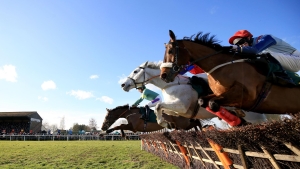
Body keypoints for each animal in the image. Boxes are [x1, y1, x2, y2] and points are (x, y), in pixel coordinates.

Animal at [120, 61, 270, 127]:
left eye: (135, 71)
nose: (123, 85)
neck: (170, 85)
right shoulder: (177, 110)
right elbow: (162, 108)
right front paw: (164, 122)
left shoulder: (182, 106)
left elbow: (158, 106)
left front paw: (161, 122)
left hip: (255, 117)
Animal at [159, 30, 300, 115]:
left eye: (170, 51)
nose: (163, 75)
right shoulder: (220, 94)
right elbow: (203, 101)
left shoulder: (247, 94)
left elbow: (213, 103)